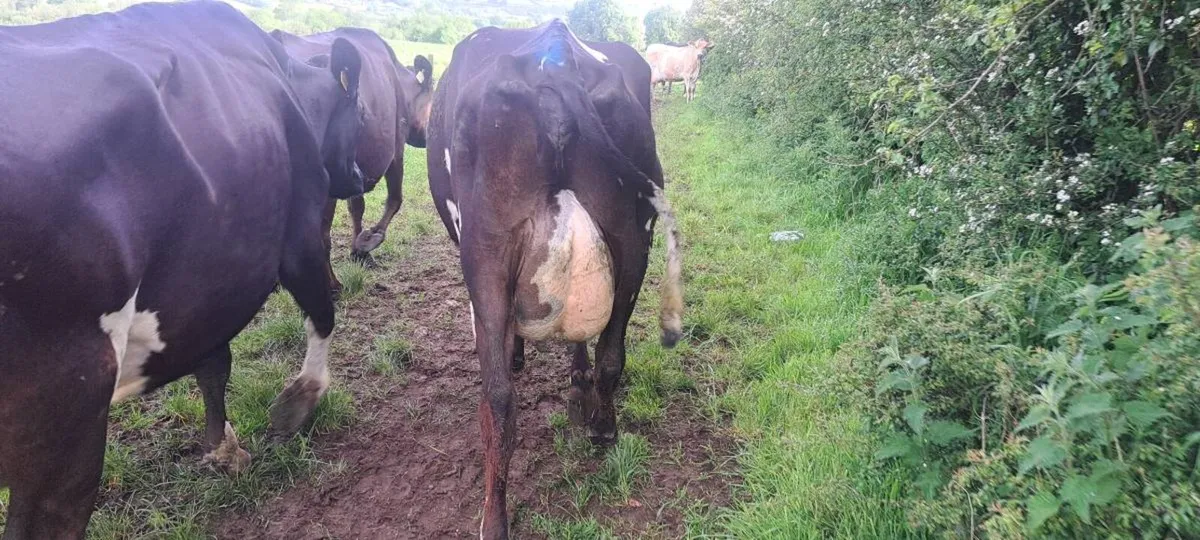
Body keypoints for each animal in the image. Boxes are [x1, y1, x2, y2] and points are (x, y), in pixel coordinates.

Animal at [0, 1, 368, 537]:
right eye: (361, 113)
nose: (359, 176)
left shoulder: (209, 283)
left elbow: (214, 364)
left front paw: (222, 448)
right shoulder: (298, 230)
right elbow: (321, 312)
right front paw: (300, 400)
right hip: (68, 399)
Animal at [271, 28, 434, 285]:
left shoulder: (355, 166)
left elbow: (357, 207)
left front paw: (359, 253)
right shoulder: (395, 150)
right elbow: (394, 200)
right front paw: (367, 241)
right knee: (321, 233)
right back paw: (333, 284)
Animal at [426, 20, 683, 539]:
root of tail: (557, 56)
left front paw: (522, 356)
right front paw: (576, 381)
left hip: (484, 252)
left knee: (499, 399)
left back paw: (494, 518)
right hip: (634, 237)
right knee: (612, 354)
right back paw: (603, 426)